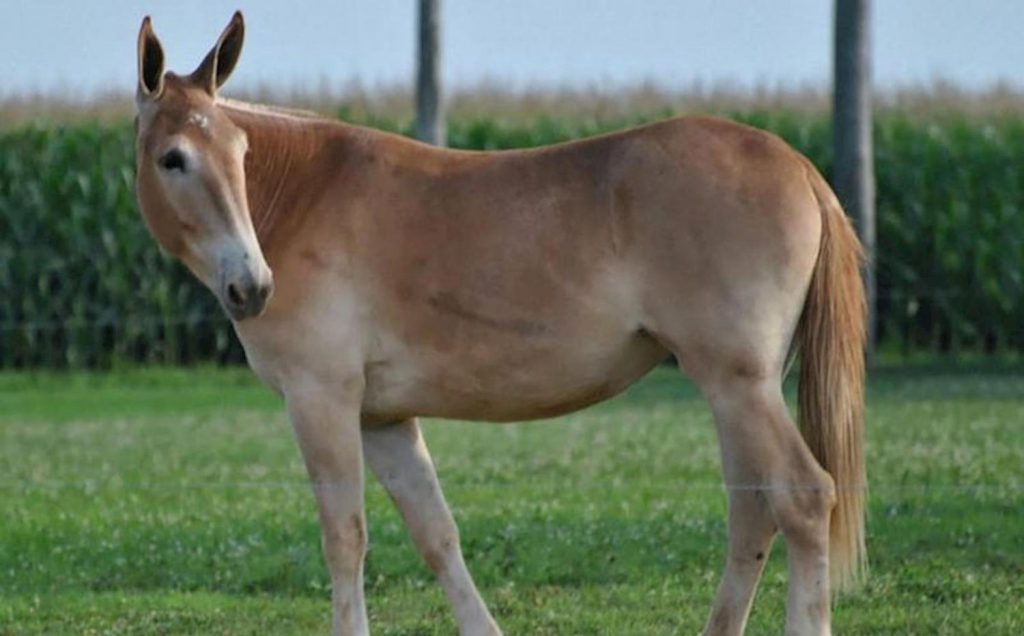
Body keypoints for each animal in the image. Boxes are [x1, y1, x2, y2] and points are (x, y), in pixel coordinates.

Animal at [133, 12, 866, 636]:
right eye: (174, 157)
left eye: (239, 151)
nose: (252, 286)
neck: (303, 198)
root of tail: (801, 169)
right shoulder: (382, 418)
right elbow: (436, 535)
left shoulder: (323, 400)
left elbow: (344, 537)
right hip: (735, 391)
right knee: (753, 514)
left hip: (741, 387)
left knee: (803, 499)